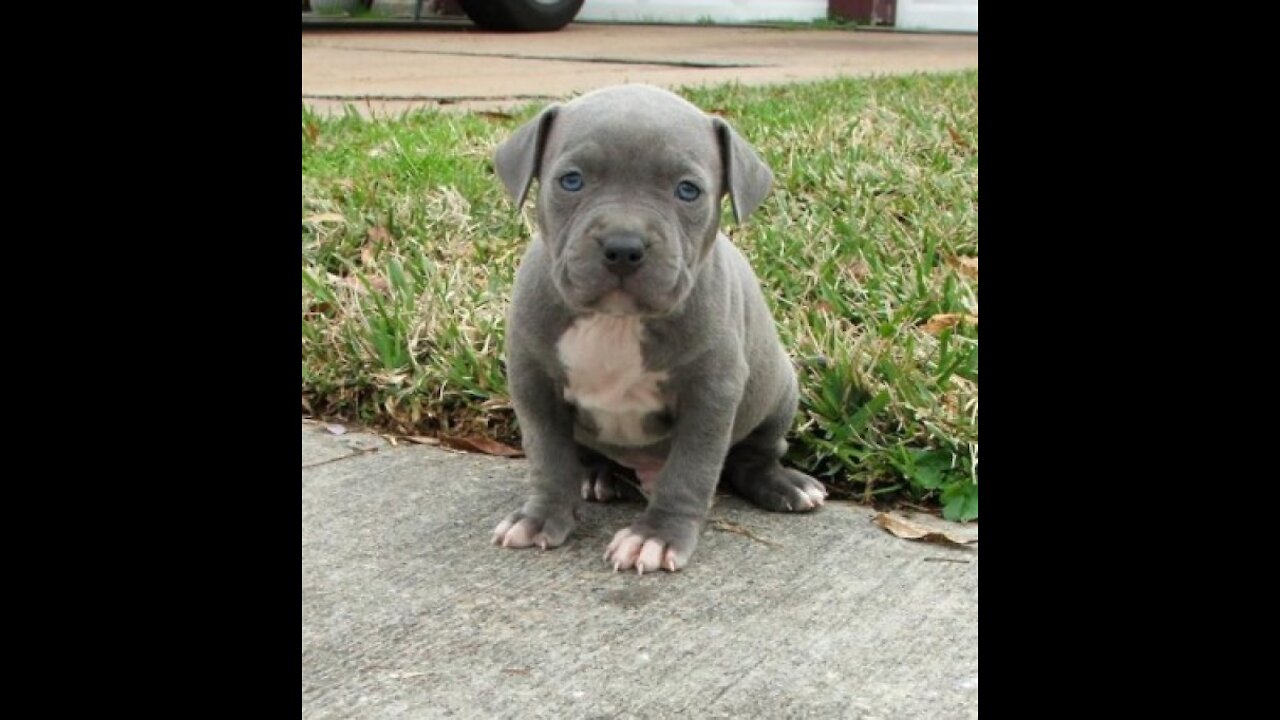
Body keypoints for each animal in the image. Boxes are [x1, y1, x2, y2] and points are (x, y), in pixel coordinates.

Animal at [488, 85, 829, 571]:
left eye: (688, 190)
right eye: (570, 181)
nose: (623, 247)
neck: (616, 322)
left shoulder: (711, 394)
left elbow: (689, 470)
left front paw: (657, 536)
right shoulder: (534, 383)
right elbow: (549, 457)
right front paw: (540, 517)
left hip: (777, 393)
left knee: (755, 456)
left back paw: (785, 485)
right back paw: (597, 474)